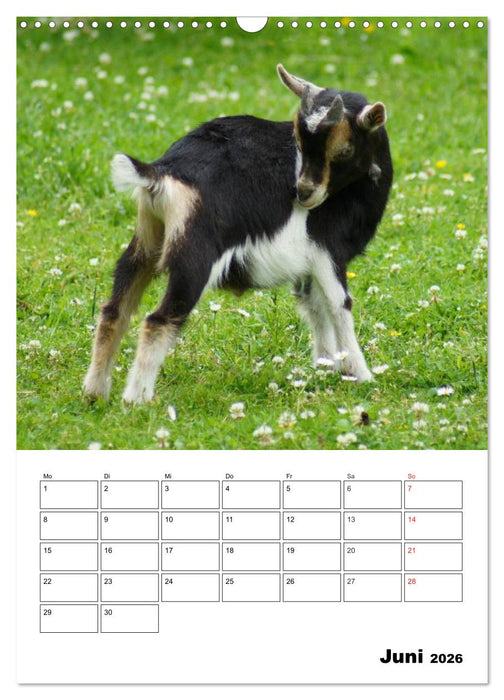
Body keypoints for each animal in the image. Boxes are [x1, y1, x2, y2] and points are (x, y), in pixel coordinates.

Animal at [83, 64, 393, 404]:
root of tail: (162, 173)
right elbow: (340, 305)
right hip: (195, 259)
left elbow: (314, 306)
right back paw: (136, 400)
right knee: (158, 320)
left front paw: (326, 365)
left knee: (114, 310)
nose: (303, 194)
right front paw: (362, 374)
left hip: (146, 242)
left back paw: (95, 392)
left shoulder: (307, 265)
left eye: (344, 149)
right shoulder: (327, 251)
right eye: (299, 141)